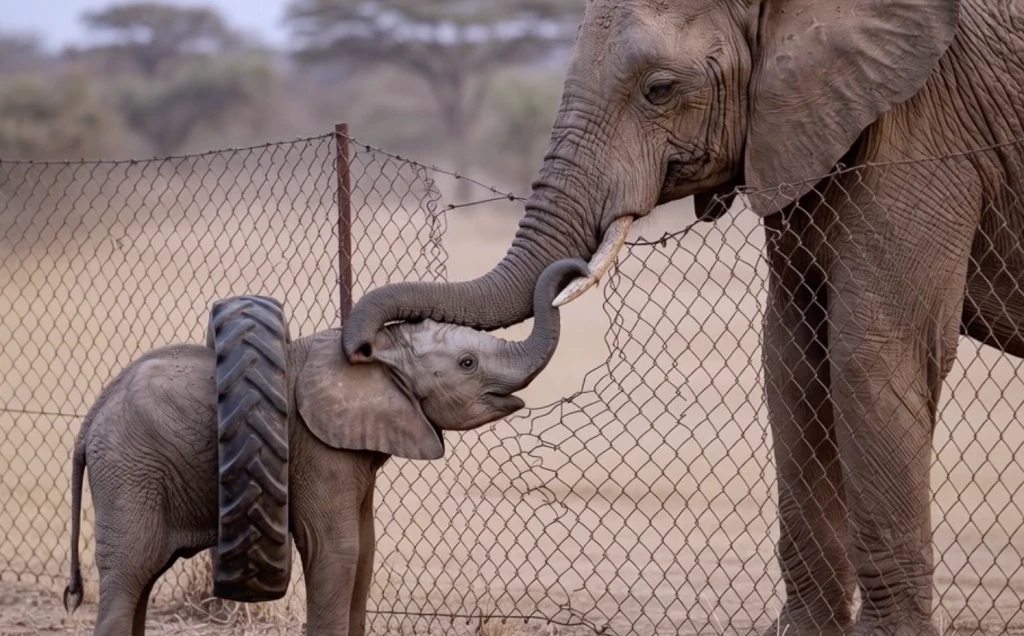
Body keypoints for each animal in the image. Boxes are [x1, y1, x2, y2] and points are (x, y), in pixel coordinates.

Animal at [62, 258, 589, 636]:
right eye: (467, 363)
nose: (580, 269)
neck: (378, 357)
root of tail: (90, 420)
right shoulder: (317, 449)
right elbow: (336, 549)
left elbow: (365, 550)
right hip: (130, 469)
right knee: (129, 573)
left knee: (142, 582)